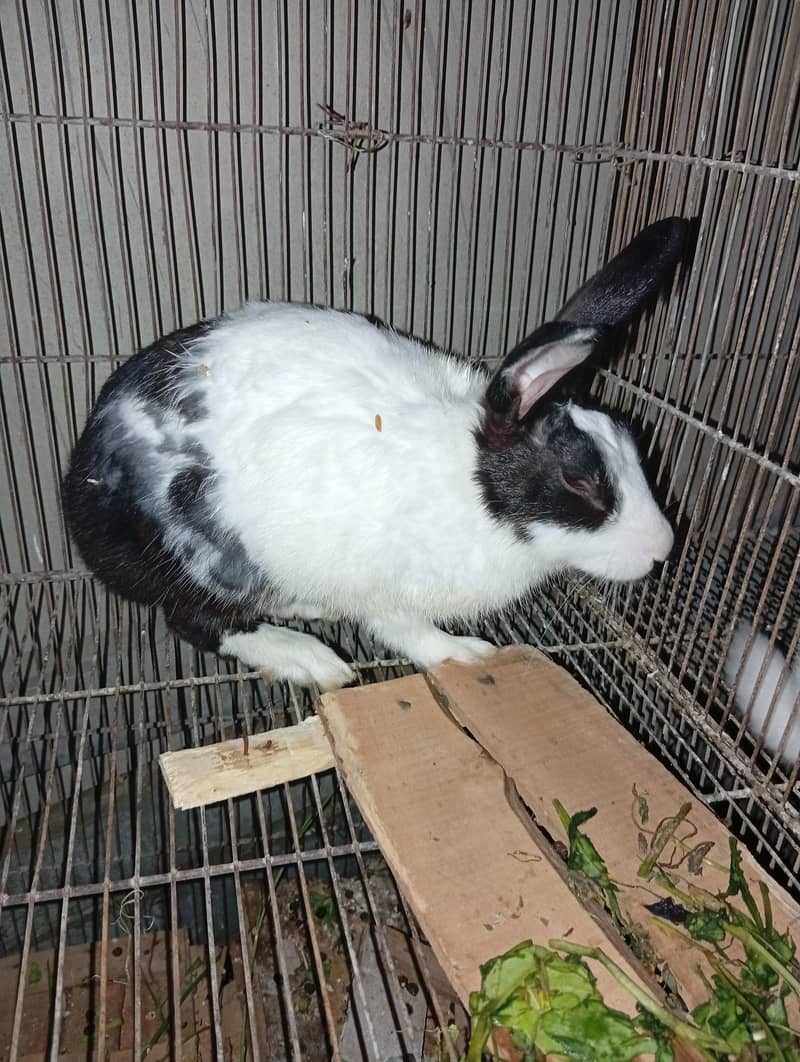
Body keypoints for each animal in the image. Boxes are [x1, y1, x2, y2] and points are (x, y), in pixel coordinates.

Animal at [62, 217, 688, 690]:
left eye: (633, 443)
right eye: (579, 480)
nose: (663, 551)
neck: (469, 488)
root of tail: (79, 488)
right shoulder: (383, 590)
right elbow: (408, 633)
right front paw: (469, 654)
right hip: (202, 557)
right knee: (194, 620)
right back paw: (308, 657)